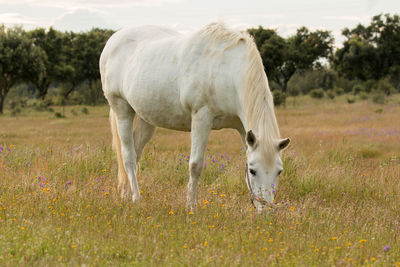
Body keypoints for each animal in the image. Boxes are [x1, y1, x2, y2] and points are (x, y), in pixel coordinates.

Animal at [98, 22, 290, 211]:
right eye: (252, 170)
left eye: (279, 171)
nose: (266, 210)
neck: (227, 70)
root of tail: (113, 40)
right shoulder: (201, 119)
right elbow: (195, 166)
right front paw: (191, 207)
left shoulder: (244, 129)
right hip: (122, 109)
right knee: (128, 157)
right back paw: (136, 199)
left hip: (147, 120)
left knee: (136, 153)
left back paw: (126, 195)